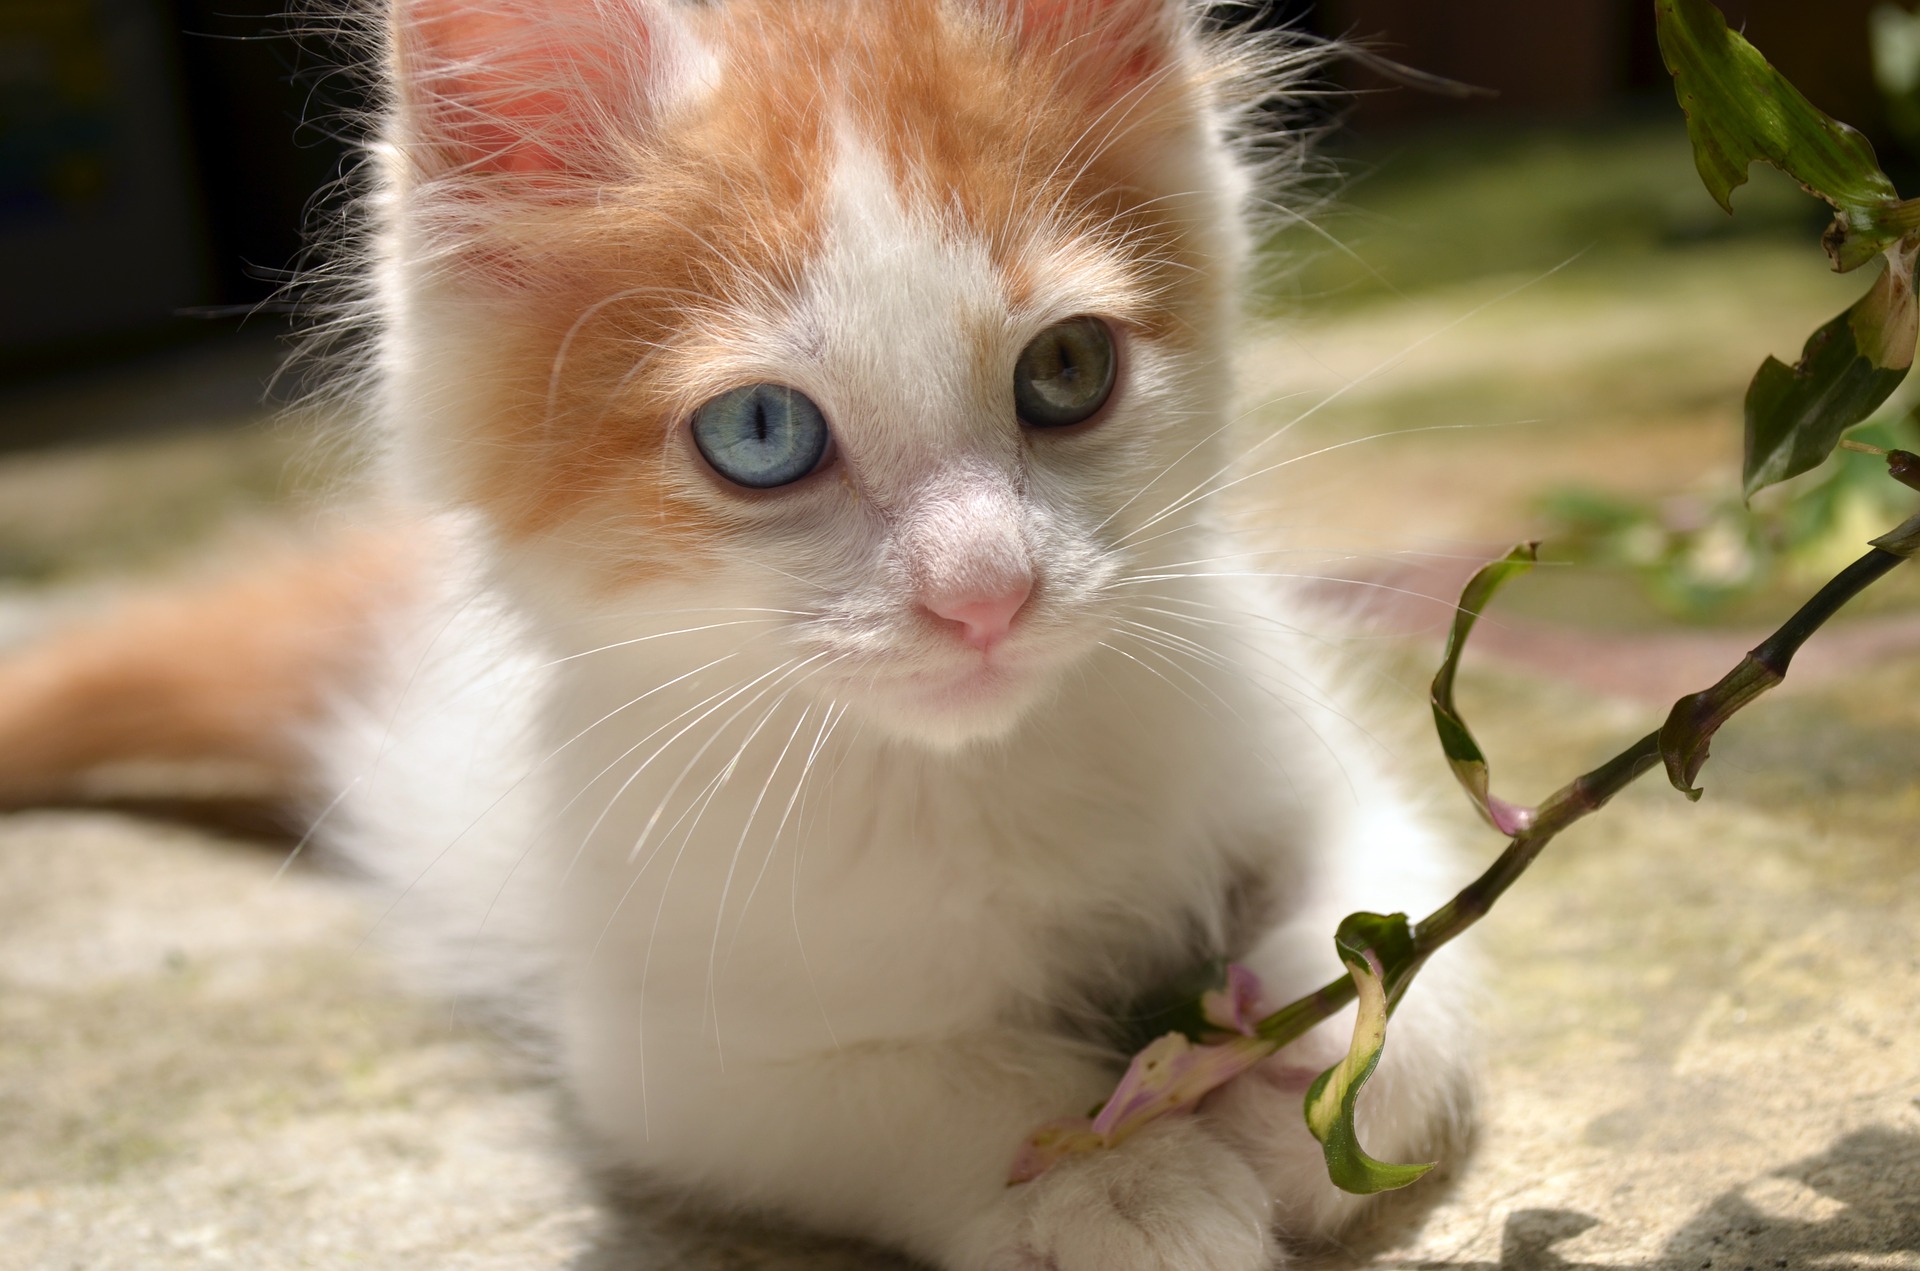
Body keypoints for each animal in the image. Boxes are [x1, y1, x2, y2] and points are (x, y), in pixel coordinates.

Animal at [0, 4, 1474, 1267]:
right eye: (760, 433)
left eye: (1067, 370)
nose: (985, 592)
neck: (968, 775)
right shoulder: (676, 1059)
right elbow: (931, 1082)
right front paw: (1111, 1181)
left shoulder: (1299, 751)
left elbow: (1378, 906)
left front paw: (1325, 1064)